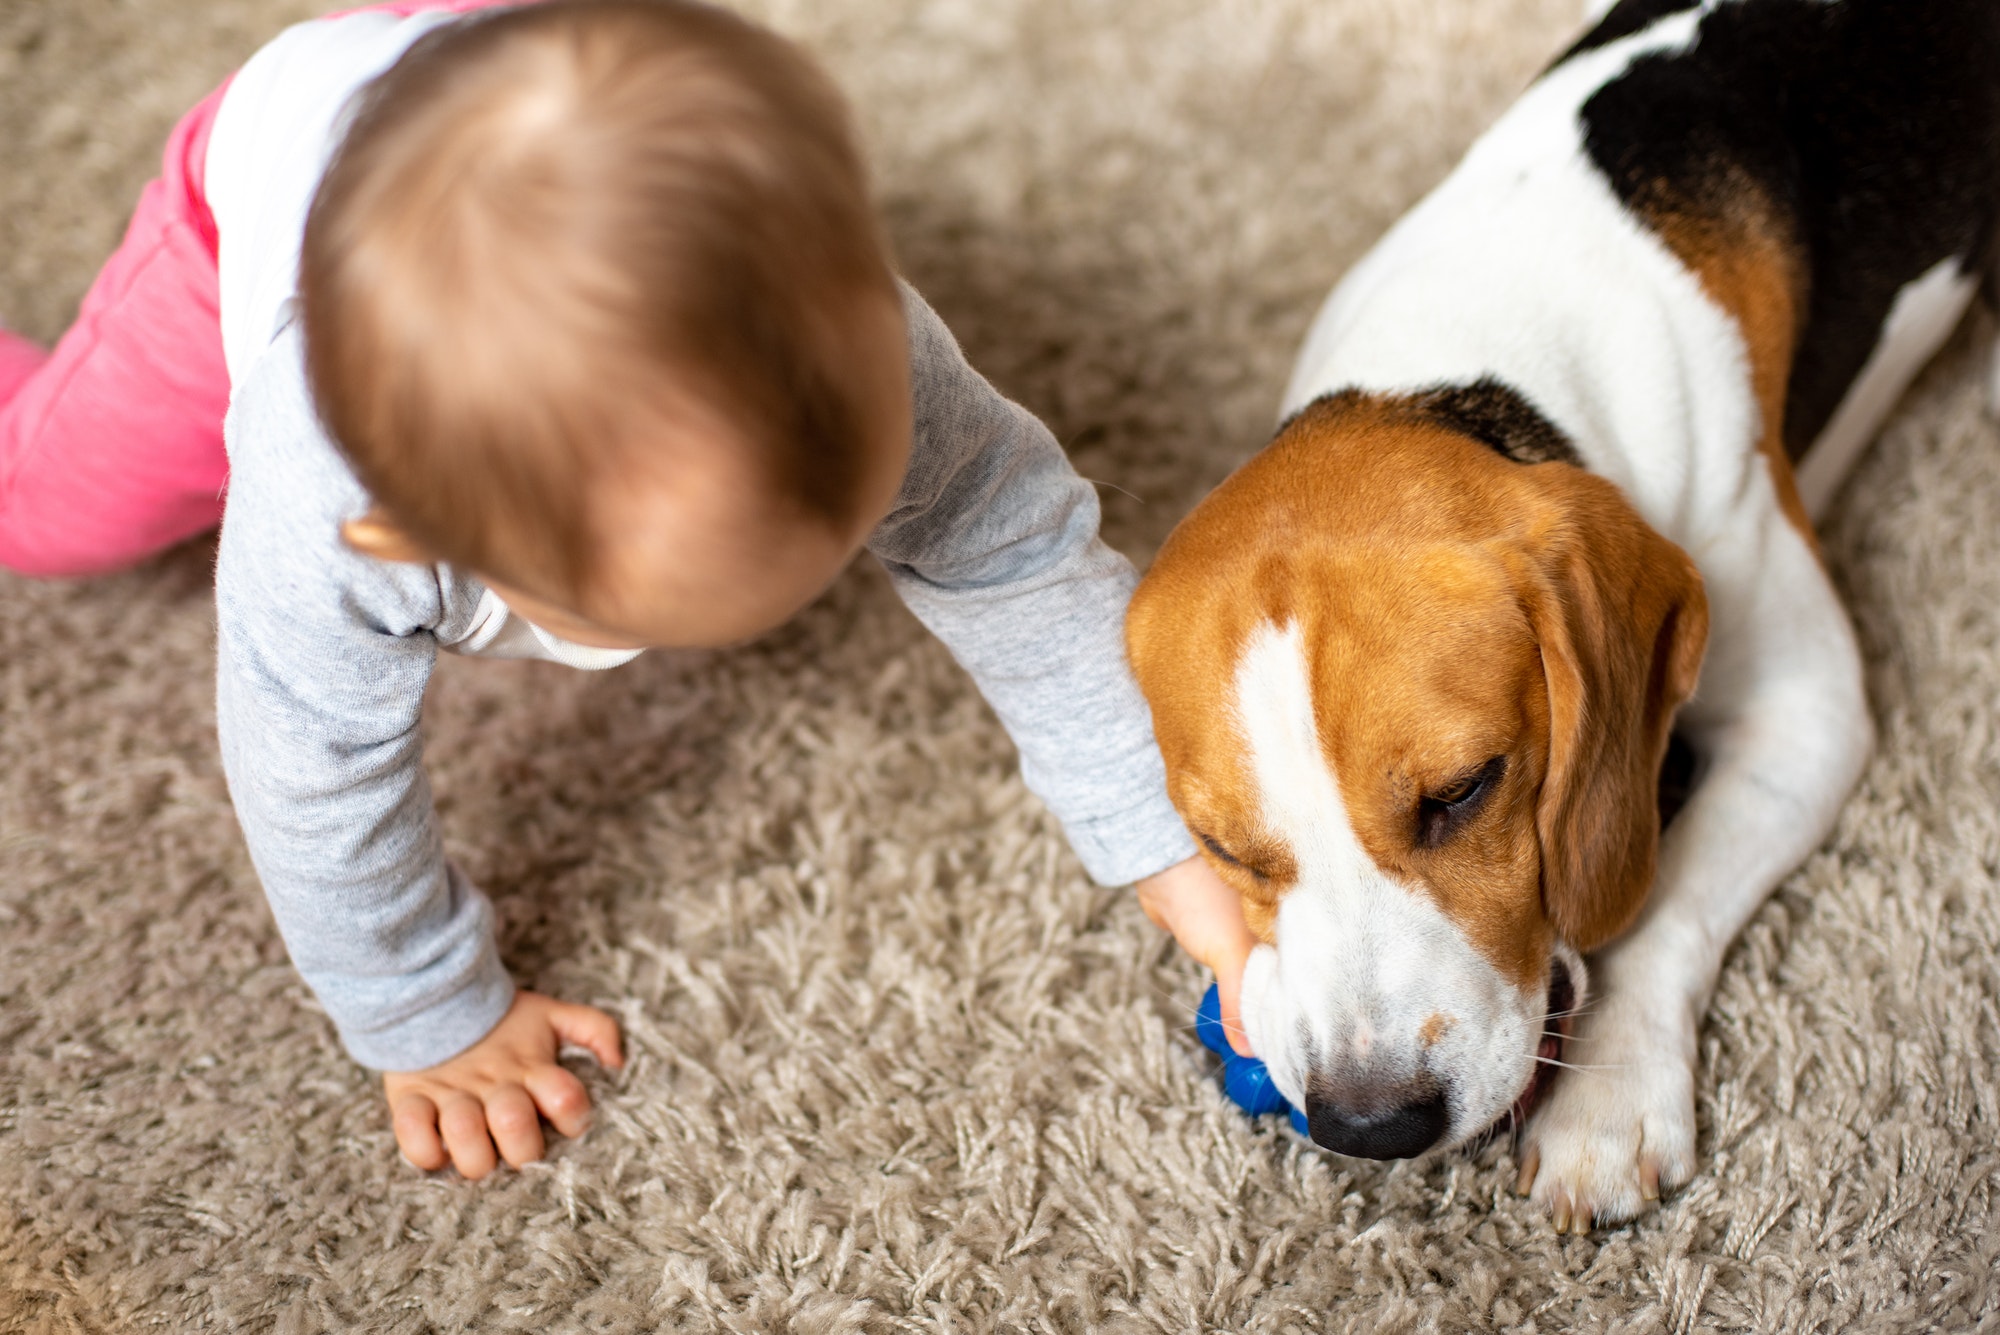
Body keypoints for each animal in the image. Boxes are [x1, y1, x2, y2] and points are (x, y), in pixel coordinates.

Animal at [1128, 0, 2000, 1231]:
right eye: (1221, 847)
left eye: (1463, 791)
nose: (1372, 1124)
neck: (1460, 371)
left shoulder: (1807, 713)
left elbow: (1665, 899)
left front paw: (1606, 1100)